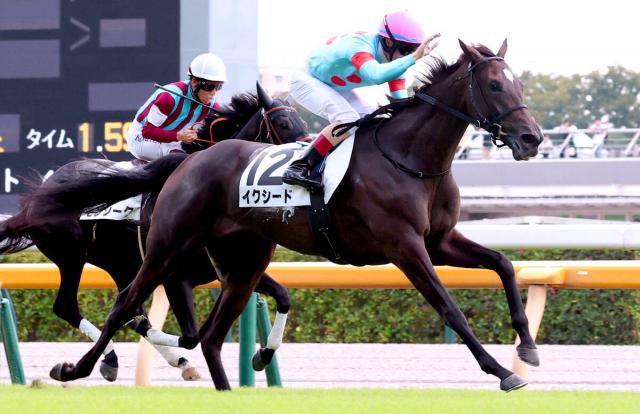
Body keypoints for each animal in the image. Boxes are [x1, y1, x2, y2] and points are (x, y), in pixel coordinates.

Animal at [0, 83, 308, 381]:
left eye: (302, 121)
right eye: (282, 123)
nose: (305, 154)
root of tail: (37, 200)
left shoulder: (235, 269)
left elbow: (283, 295)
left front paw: (262, 354)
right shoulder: (175, 276)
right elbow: (190, 336)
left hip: (120, 264)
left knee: (125, 308)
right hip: (72, 256)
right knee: (70, 306)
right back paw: (112, 360)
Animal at [46, 40, 543, 391]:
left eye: (519, 85)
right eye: (495, 85)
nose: (532, 138)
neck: (409, 157)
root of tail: (189, 161)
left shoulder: (439, 241)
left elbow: (503, 264)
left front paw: (528, 348)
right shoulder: (405, 246)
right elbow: (449, 307)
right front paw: (501, 371)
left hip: (242, 260)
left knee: (207, 335)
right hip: (166, 248)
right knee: (126, 307)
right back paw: (75, 369)